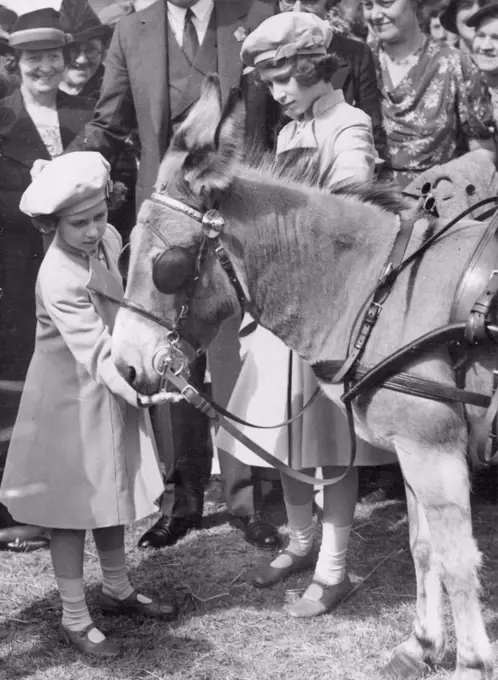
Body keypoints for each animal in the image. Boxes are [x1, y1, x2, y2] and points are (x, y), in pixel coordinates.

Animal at [113, 74, 498, 680]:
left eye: (167, 264)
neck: (381, 288)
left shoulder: (433, 447)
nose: (125, 363)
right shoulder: (413, 450)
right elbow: (423, 547)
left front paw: (471, 664)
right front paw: (422, 645)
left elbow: (458, 560)